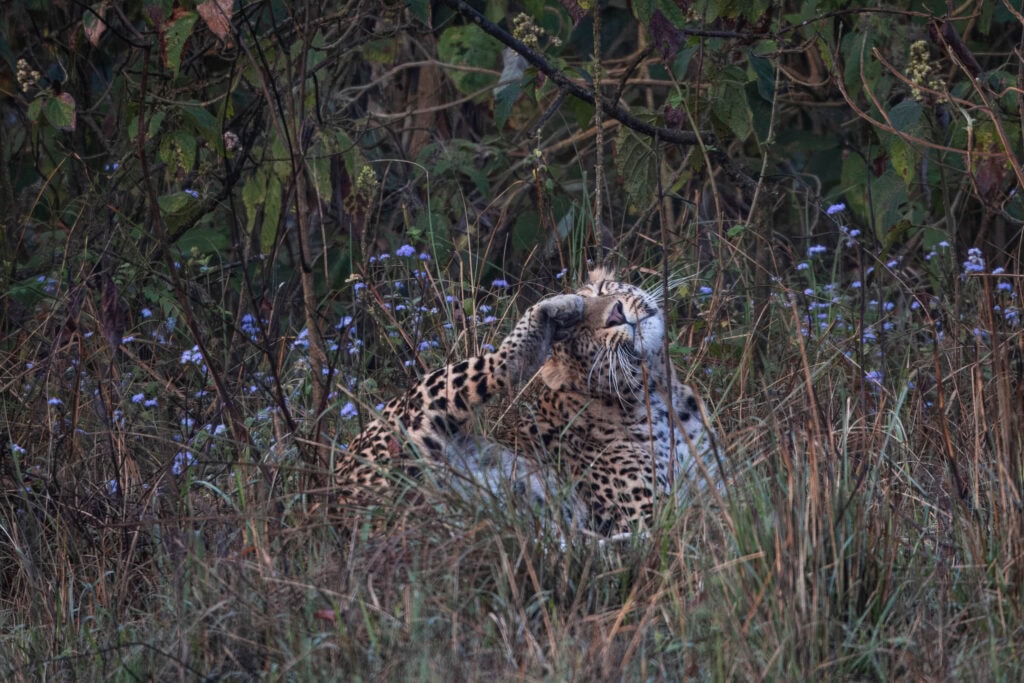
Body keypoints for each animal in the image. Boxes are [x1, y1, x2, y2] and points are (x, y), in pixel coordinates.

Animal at [335, 268, 720, 535]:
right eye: (579, 334)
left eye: (603, 290)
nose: (615, 314)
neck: (660, 395)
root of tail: (338, 501)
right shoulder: (645, 514)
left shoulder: (718, 485)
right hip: (414, 411)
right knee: (502, 362)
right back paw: (556, 306)